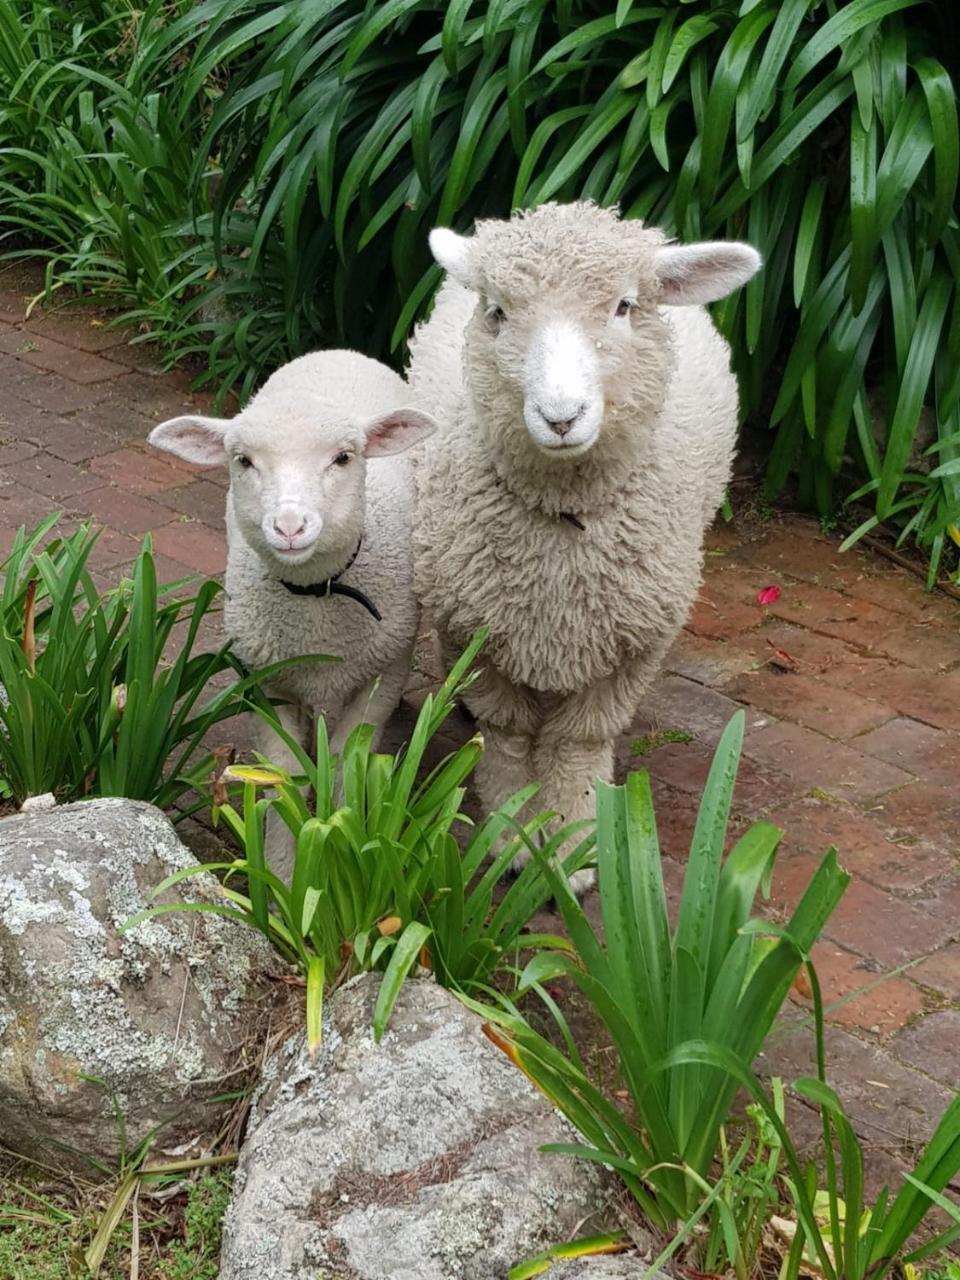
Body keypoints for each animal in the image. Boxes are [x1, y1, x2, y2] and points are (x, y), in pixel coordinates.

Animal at [149, 348, 435, 880]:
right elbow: (283, 773)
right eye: (243, 460)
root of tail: (334, 352)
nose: (289, 527)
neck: (316, 599)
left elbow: (345, 766)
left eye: (344, 458)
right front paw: (285, 871)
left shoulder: (383, 673)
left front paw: (345, 850)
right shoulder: (267, 680)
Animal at [409, 199, 762, 890]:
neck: (562, 518)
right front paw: (513, 832)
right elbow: (508, 733)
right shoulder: (476, 627)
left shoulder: (628, 647)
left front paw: (572, 843)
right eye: (498, 311)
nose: (561, 416)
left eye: (624, 306)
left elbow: (577, 745)